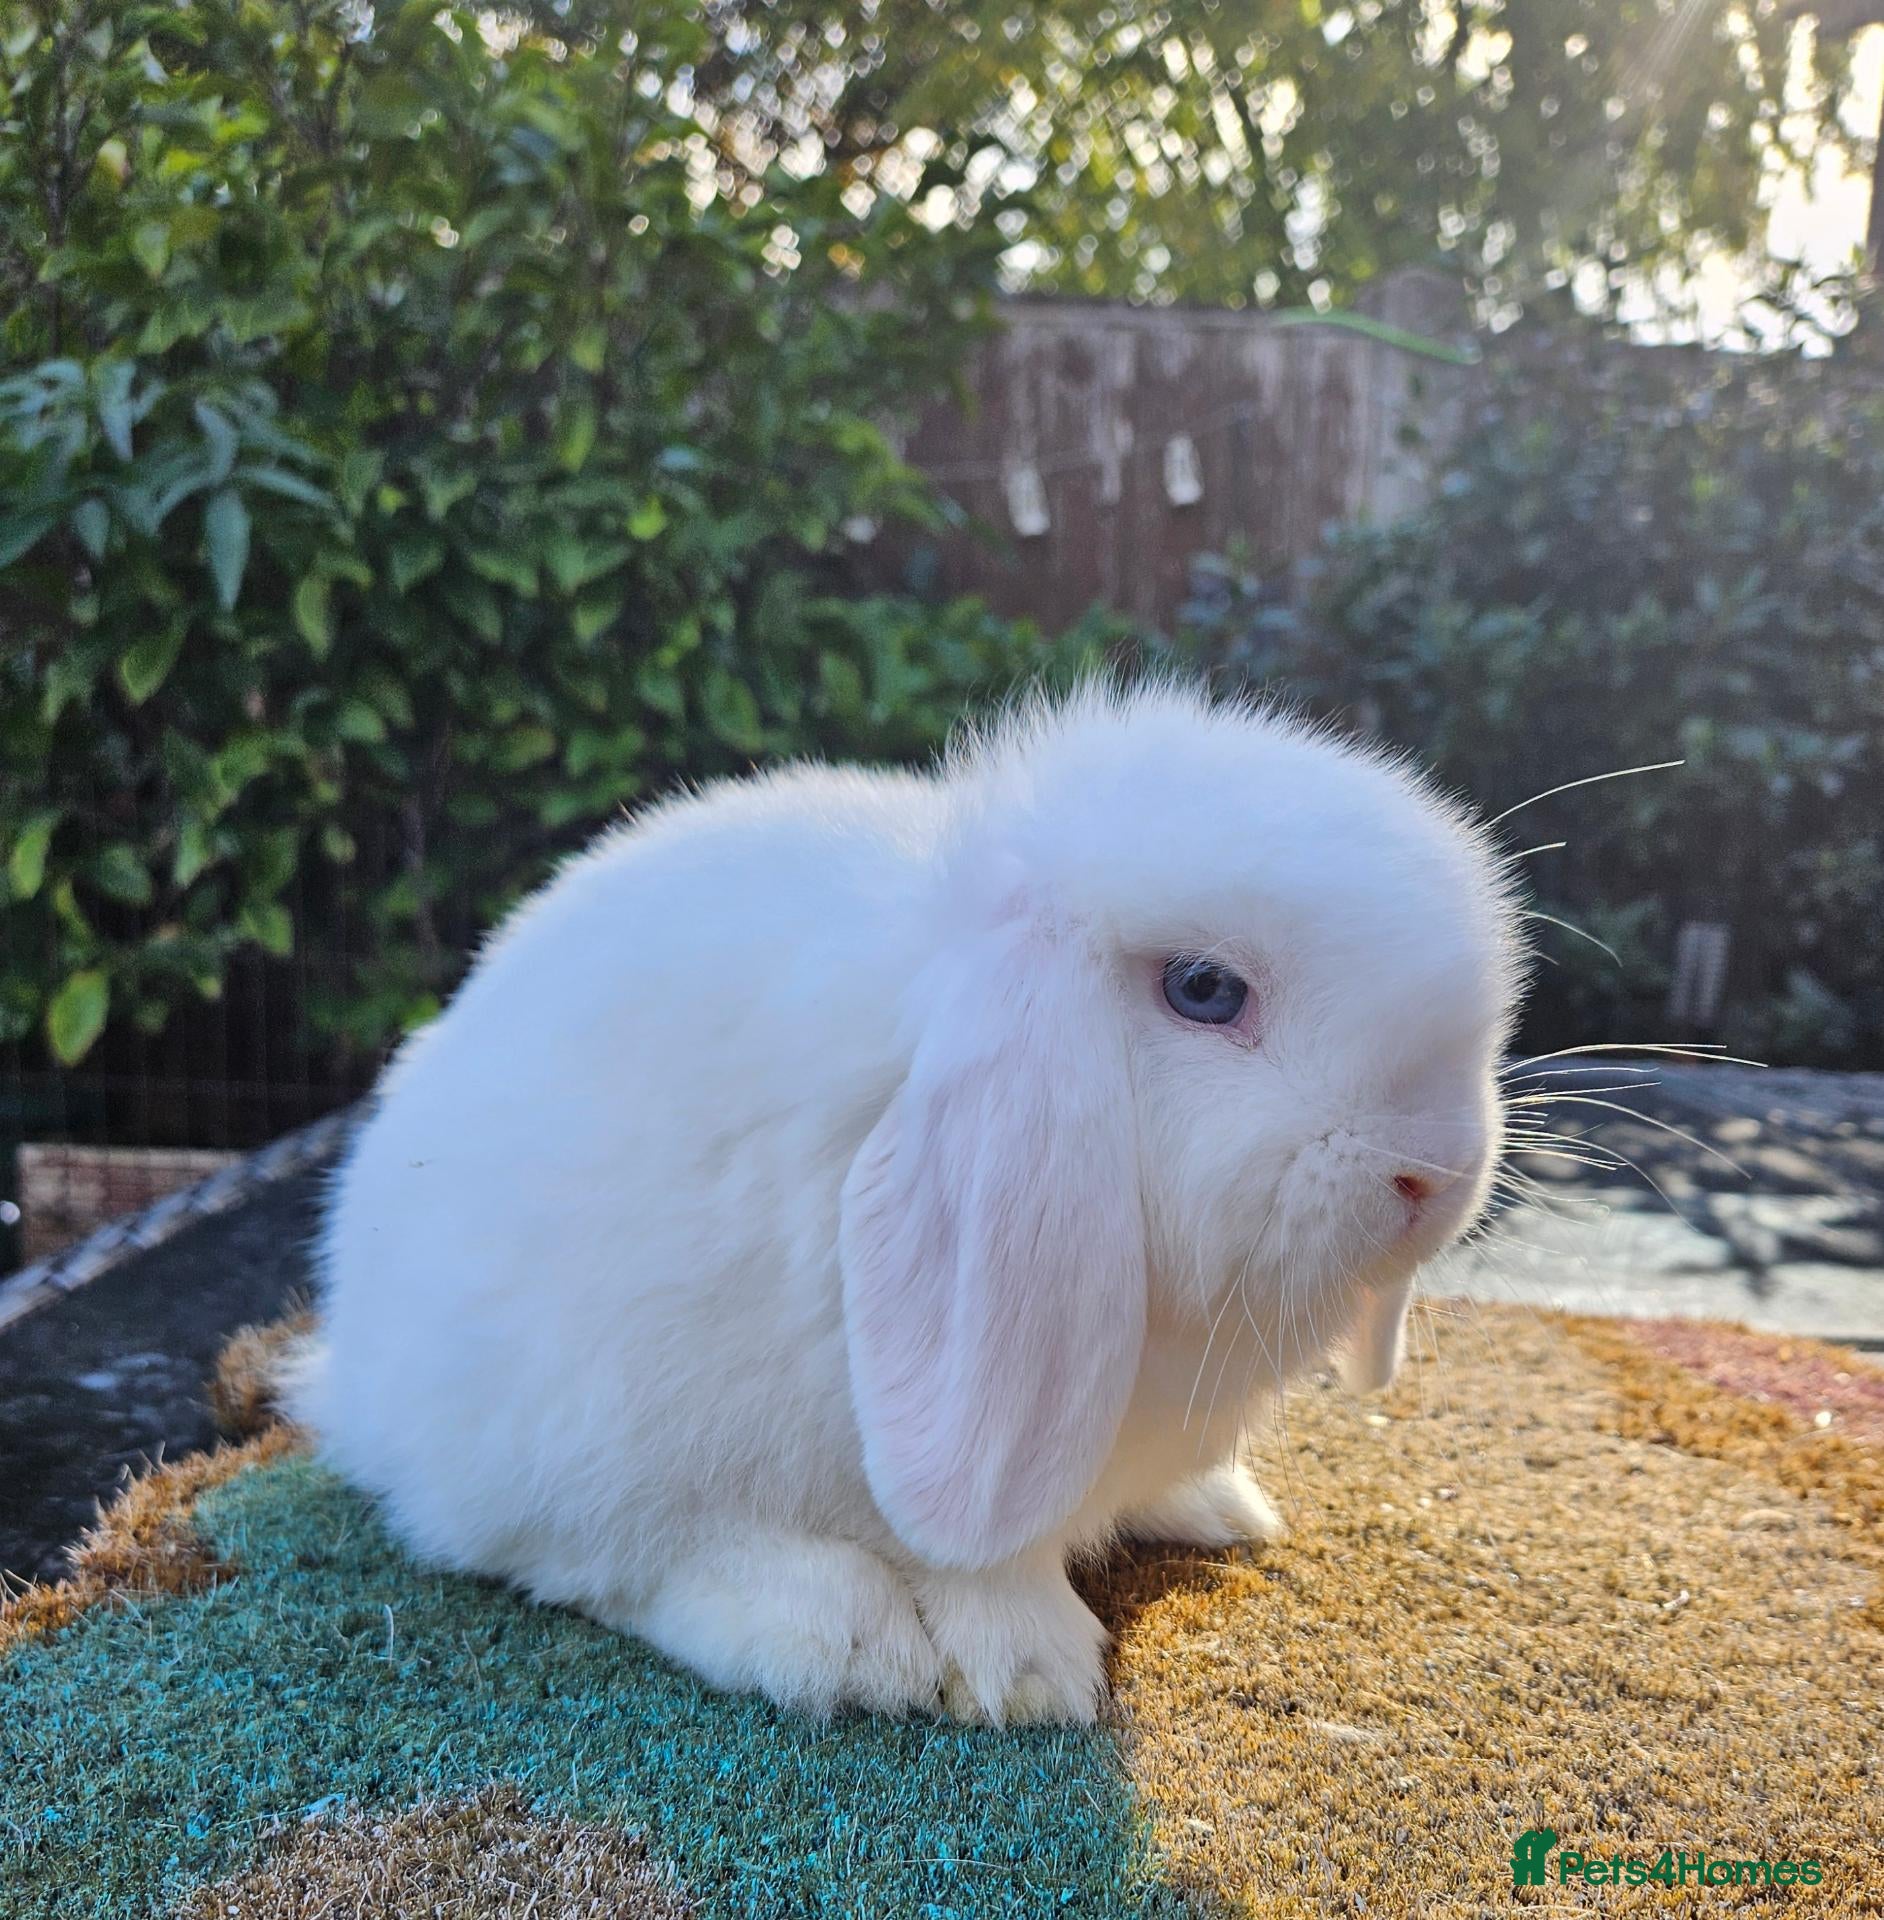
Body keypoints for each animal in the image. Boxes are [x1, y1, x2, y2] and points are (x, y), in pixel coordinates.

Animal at [292, 682, 1525, 1725]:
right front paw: (1035, 1673)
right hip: (575, 1420)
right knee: (589, 1557)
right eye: (1204, 990)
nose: (1434, 1175)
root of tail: (349, 1380)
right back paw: (835, 1638)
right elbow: (982, 1563)